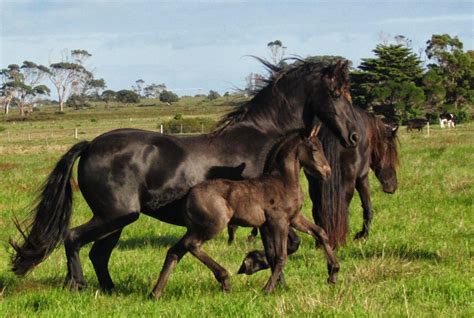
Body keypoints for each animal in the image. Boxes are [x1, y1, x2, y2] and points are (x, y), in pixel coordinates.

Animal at [9, 57, 358, 294]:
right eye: (336, 93)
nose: (353, 136)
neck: (262, 140)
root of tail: (90, 145)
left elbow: (288, 246)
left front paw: (268, 276)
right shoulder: (268, 215)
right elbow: (283, 247)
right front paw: (255, 269)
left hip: (116, 220)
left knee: (98, 253)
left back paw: (112, 291)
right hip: (117, 215)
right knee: (73, 239)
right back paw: (78, 284)